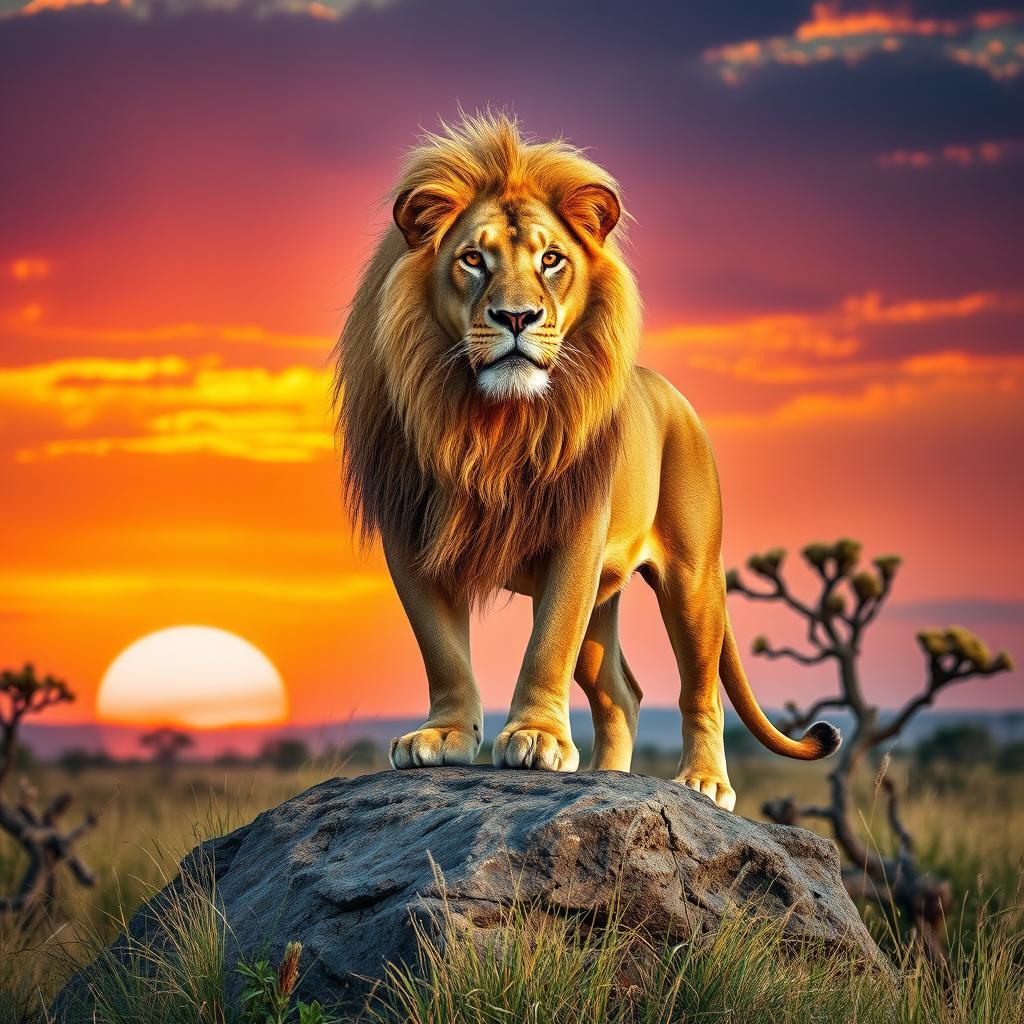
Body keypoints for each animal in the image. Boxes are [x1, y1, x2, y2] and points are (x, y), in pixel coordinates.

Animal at [335, 113, 840, 809]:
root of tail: (675, 396)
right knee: (622, 693)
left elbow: (548, 640)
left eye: (552, 260)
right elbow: (441, 648)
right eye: (473, 259)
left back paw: (705, 782)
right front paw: (443, 736)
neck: (488, 421)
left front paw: (538, 738)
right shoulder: (409, 532)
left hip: (694, 579)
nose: (517, 317)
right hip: (607, 596)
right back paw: (613, 776)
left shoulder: (577, 534)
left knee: (699, 687)